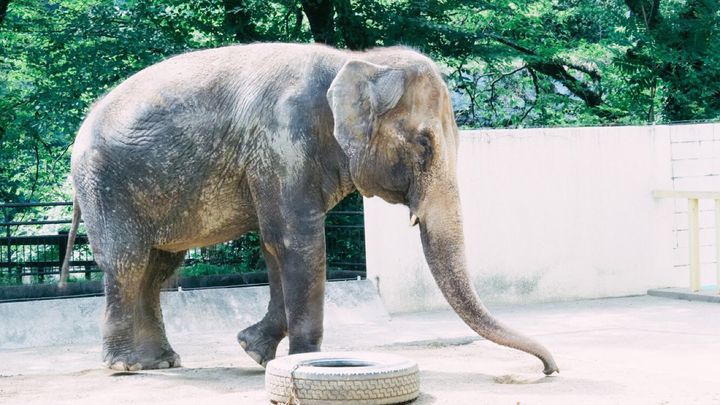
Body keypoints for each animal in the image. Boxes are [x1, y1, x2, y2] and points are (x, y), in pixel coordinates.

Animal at [59, 41, 560, 372]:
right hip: (107, 184)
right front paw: (305, 361)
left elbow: (275, 246)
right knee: (128, 263)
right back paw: (126, 366)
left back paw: (161, 363)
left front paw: (254, 351)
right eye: (423, 145)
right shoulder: (281, 139)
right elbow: (298, 241)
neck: (356, 59)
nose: (549, 370)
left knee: (158, 267)